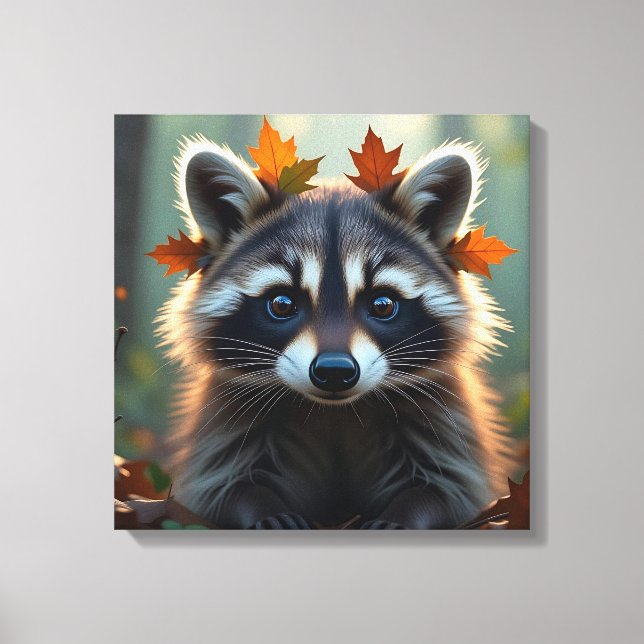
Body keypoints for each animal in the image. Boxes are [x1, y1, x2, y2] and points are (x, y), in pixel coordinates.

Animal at [158, 134, 514, 529]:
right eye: (282, 304)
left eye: (382, 305)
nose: (334, 371)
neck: (336, 412)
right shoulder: (227, 419)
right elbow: (223, 485)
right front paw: (263, 508)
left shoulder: (443, 417)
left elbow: (450, 488)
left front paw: (408, 513)